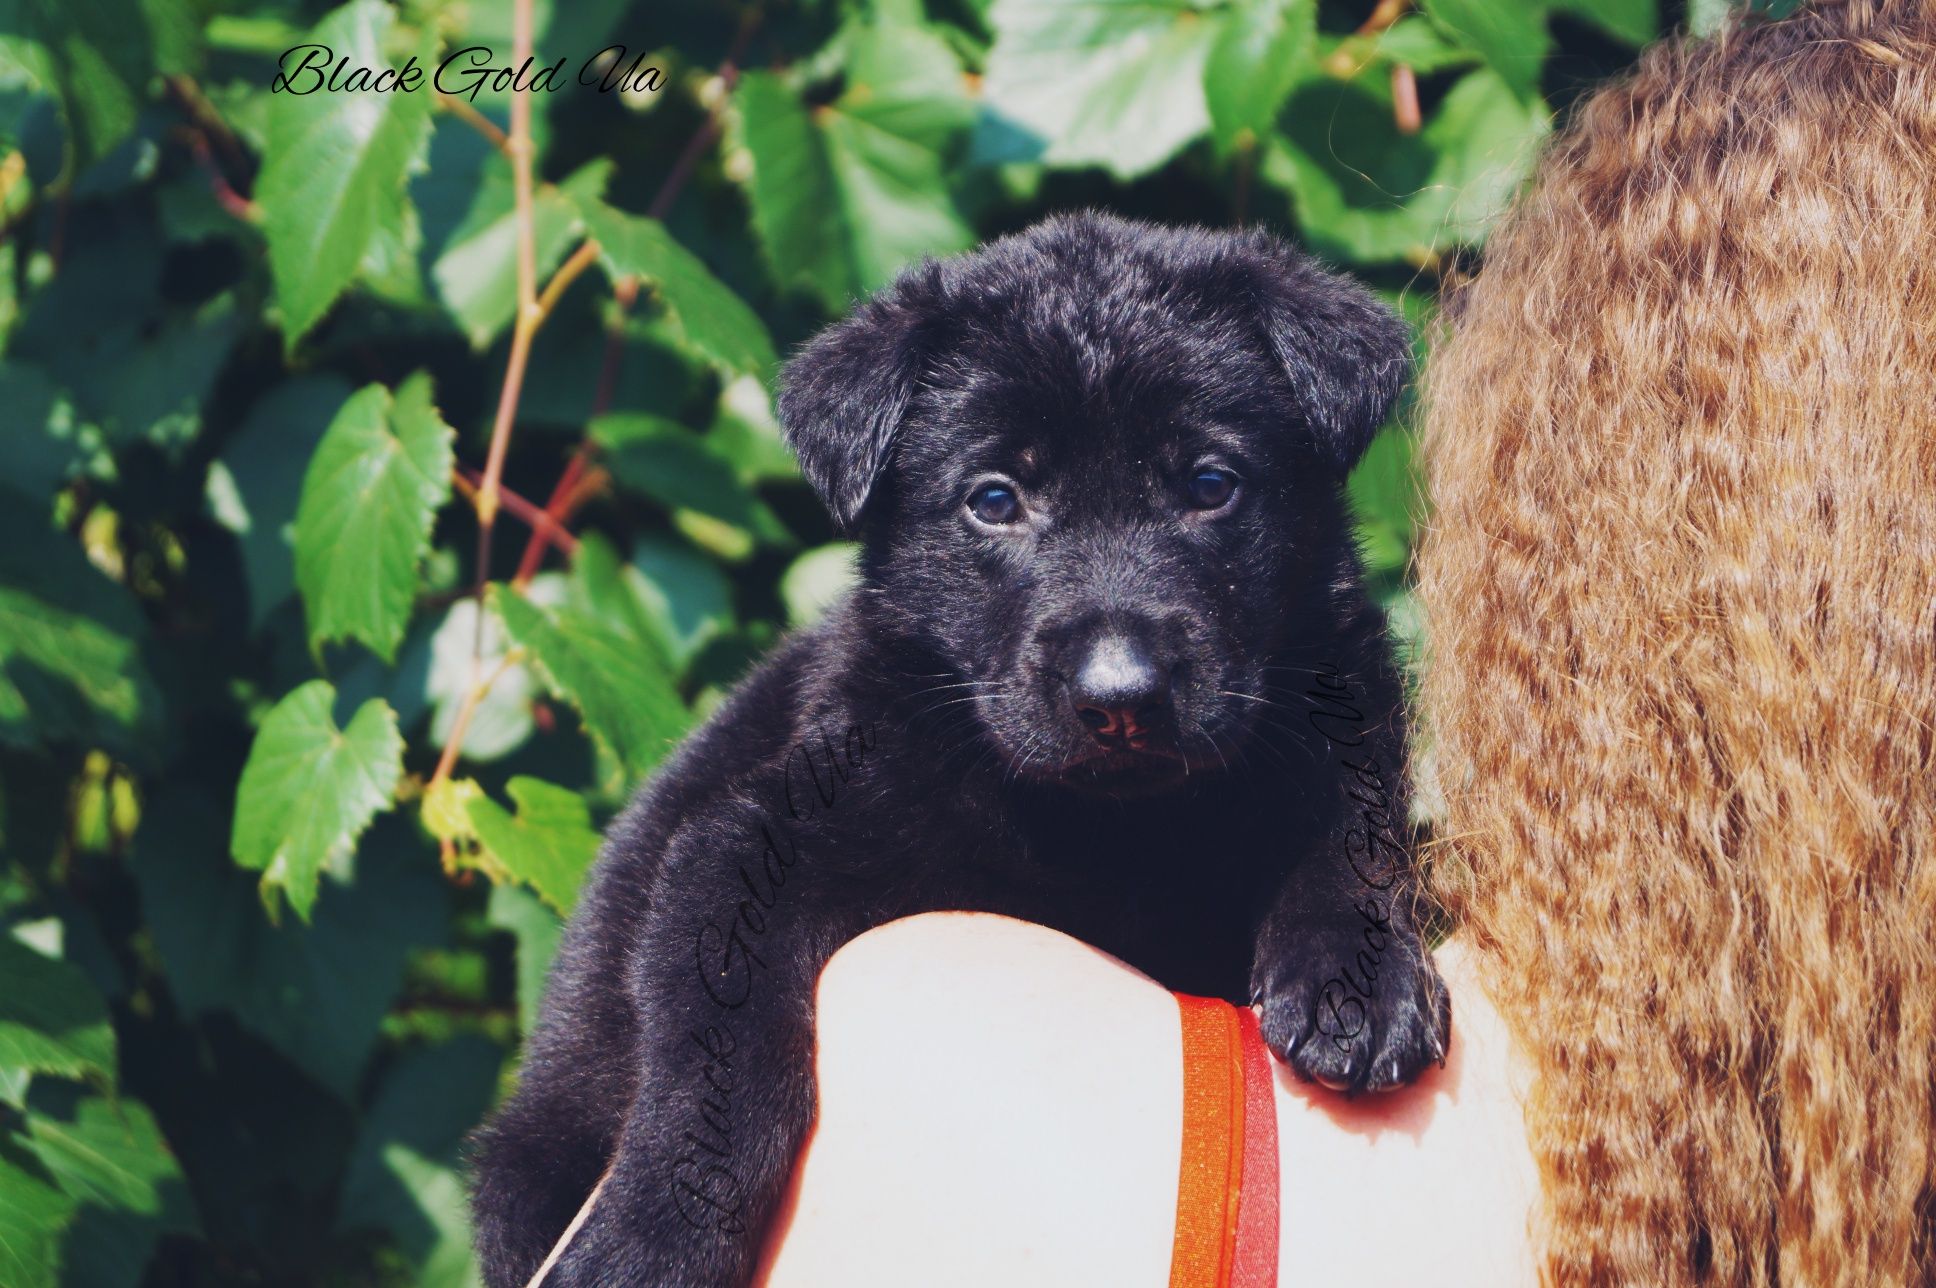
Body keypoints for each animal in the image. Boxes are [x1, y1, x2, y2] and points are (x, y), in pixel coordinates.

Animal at [472, 215, 1455, 1278]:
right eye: (994, 499)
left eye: (1210, 485)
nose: (1120, 695)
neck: (1118, 830)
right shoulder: (749, 841)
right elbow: (718, 1063)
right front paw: (649, 1239)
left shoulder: (1342, 706)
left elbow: (1353, 826)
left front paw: (1360, 977)